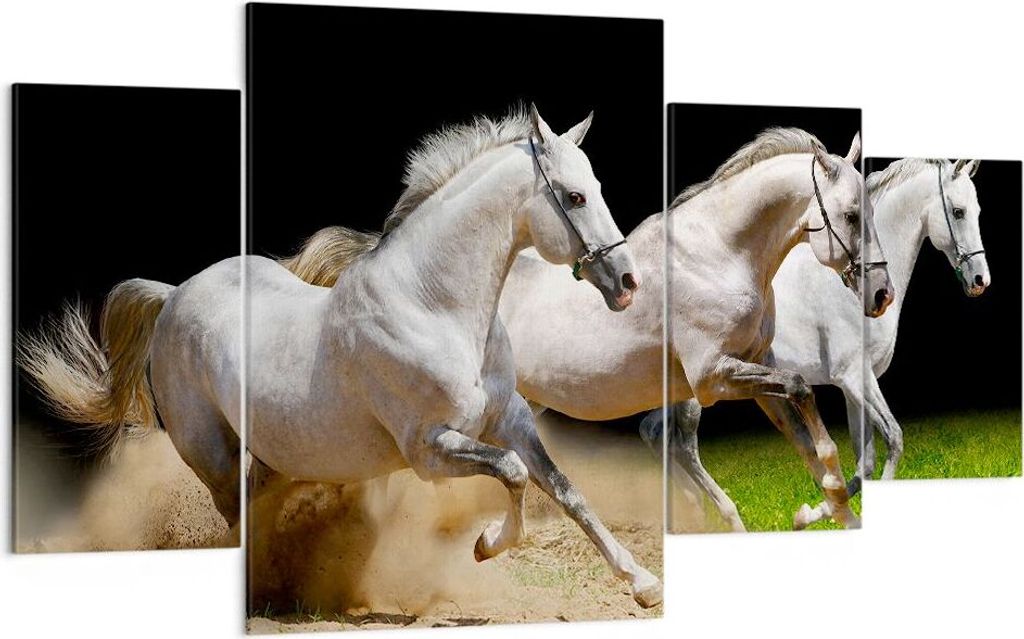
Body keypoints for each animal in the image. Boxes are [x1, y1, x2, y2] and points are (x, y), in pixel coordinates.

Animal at [16, 105, 662, 607]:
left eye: (598, 188)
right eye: (575, 196)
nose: (627, 282)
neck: (434, 305)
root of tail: (174, 295)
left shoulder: (510, 420)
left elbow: (565, 488)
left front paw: (643, 584)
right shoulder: (431, 449)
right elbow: (515, 473)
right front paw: (485, 545)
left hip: (270, 456)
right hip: (213, 456)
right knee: (237, 519)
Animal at [280, 128, 891, 531]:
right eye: (852, 215)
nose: (881, 295)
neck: (720, 253)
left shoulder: (754, 369)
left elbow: (805, 432)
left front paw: (832, 507)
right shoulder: (715, 377)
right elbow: (804, 392)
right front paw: (830, 498)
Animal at [651, 158, 987, 531]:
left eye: (976, 210)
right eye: (958, 211)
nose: (980, 280)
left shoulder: (855, 386)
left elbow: (865, 462)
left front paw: (812, 512)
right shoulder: (855, 377)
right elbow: (893, 438)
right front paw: (815, 512)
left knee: (656, 436)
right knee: (680, 445)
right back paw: (725, 516)